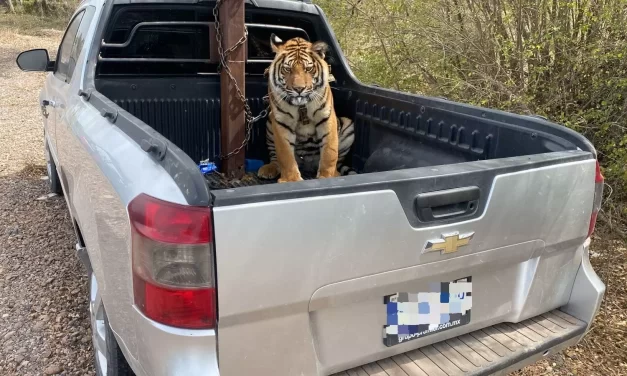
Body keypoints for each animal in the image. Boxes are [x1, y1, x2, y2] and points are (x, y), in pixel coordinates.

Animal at [255, 34, 354, 183]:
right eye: (287, 69)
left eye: (308, 69)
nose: (299, 89)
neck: (301, 106)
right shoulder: (281, 122)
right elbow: (285, 155)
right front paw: (291, 180)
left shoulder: (326, 117)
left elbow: (330, 152)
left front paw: (327, 177)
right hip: (269, 123)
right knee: (275, 158)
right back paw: (269, 169)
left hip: (348, 124)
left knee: (338, 160)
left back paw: (336, 173)